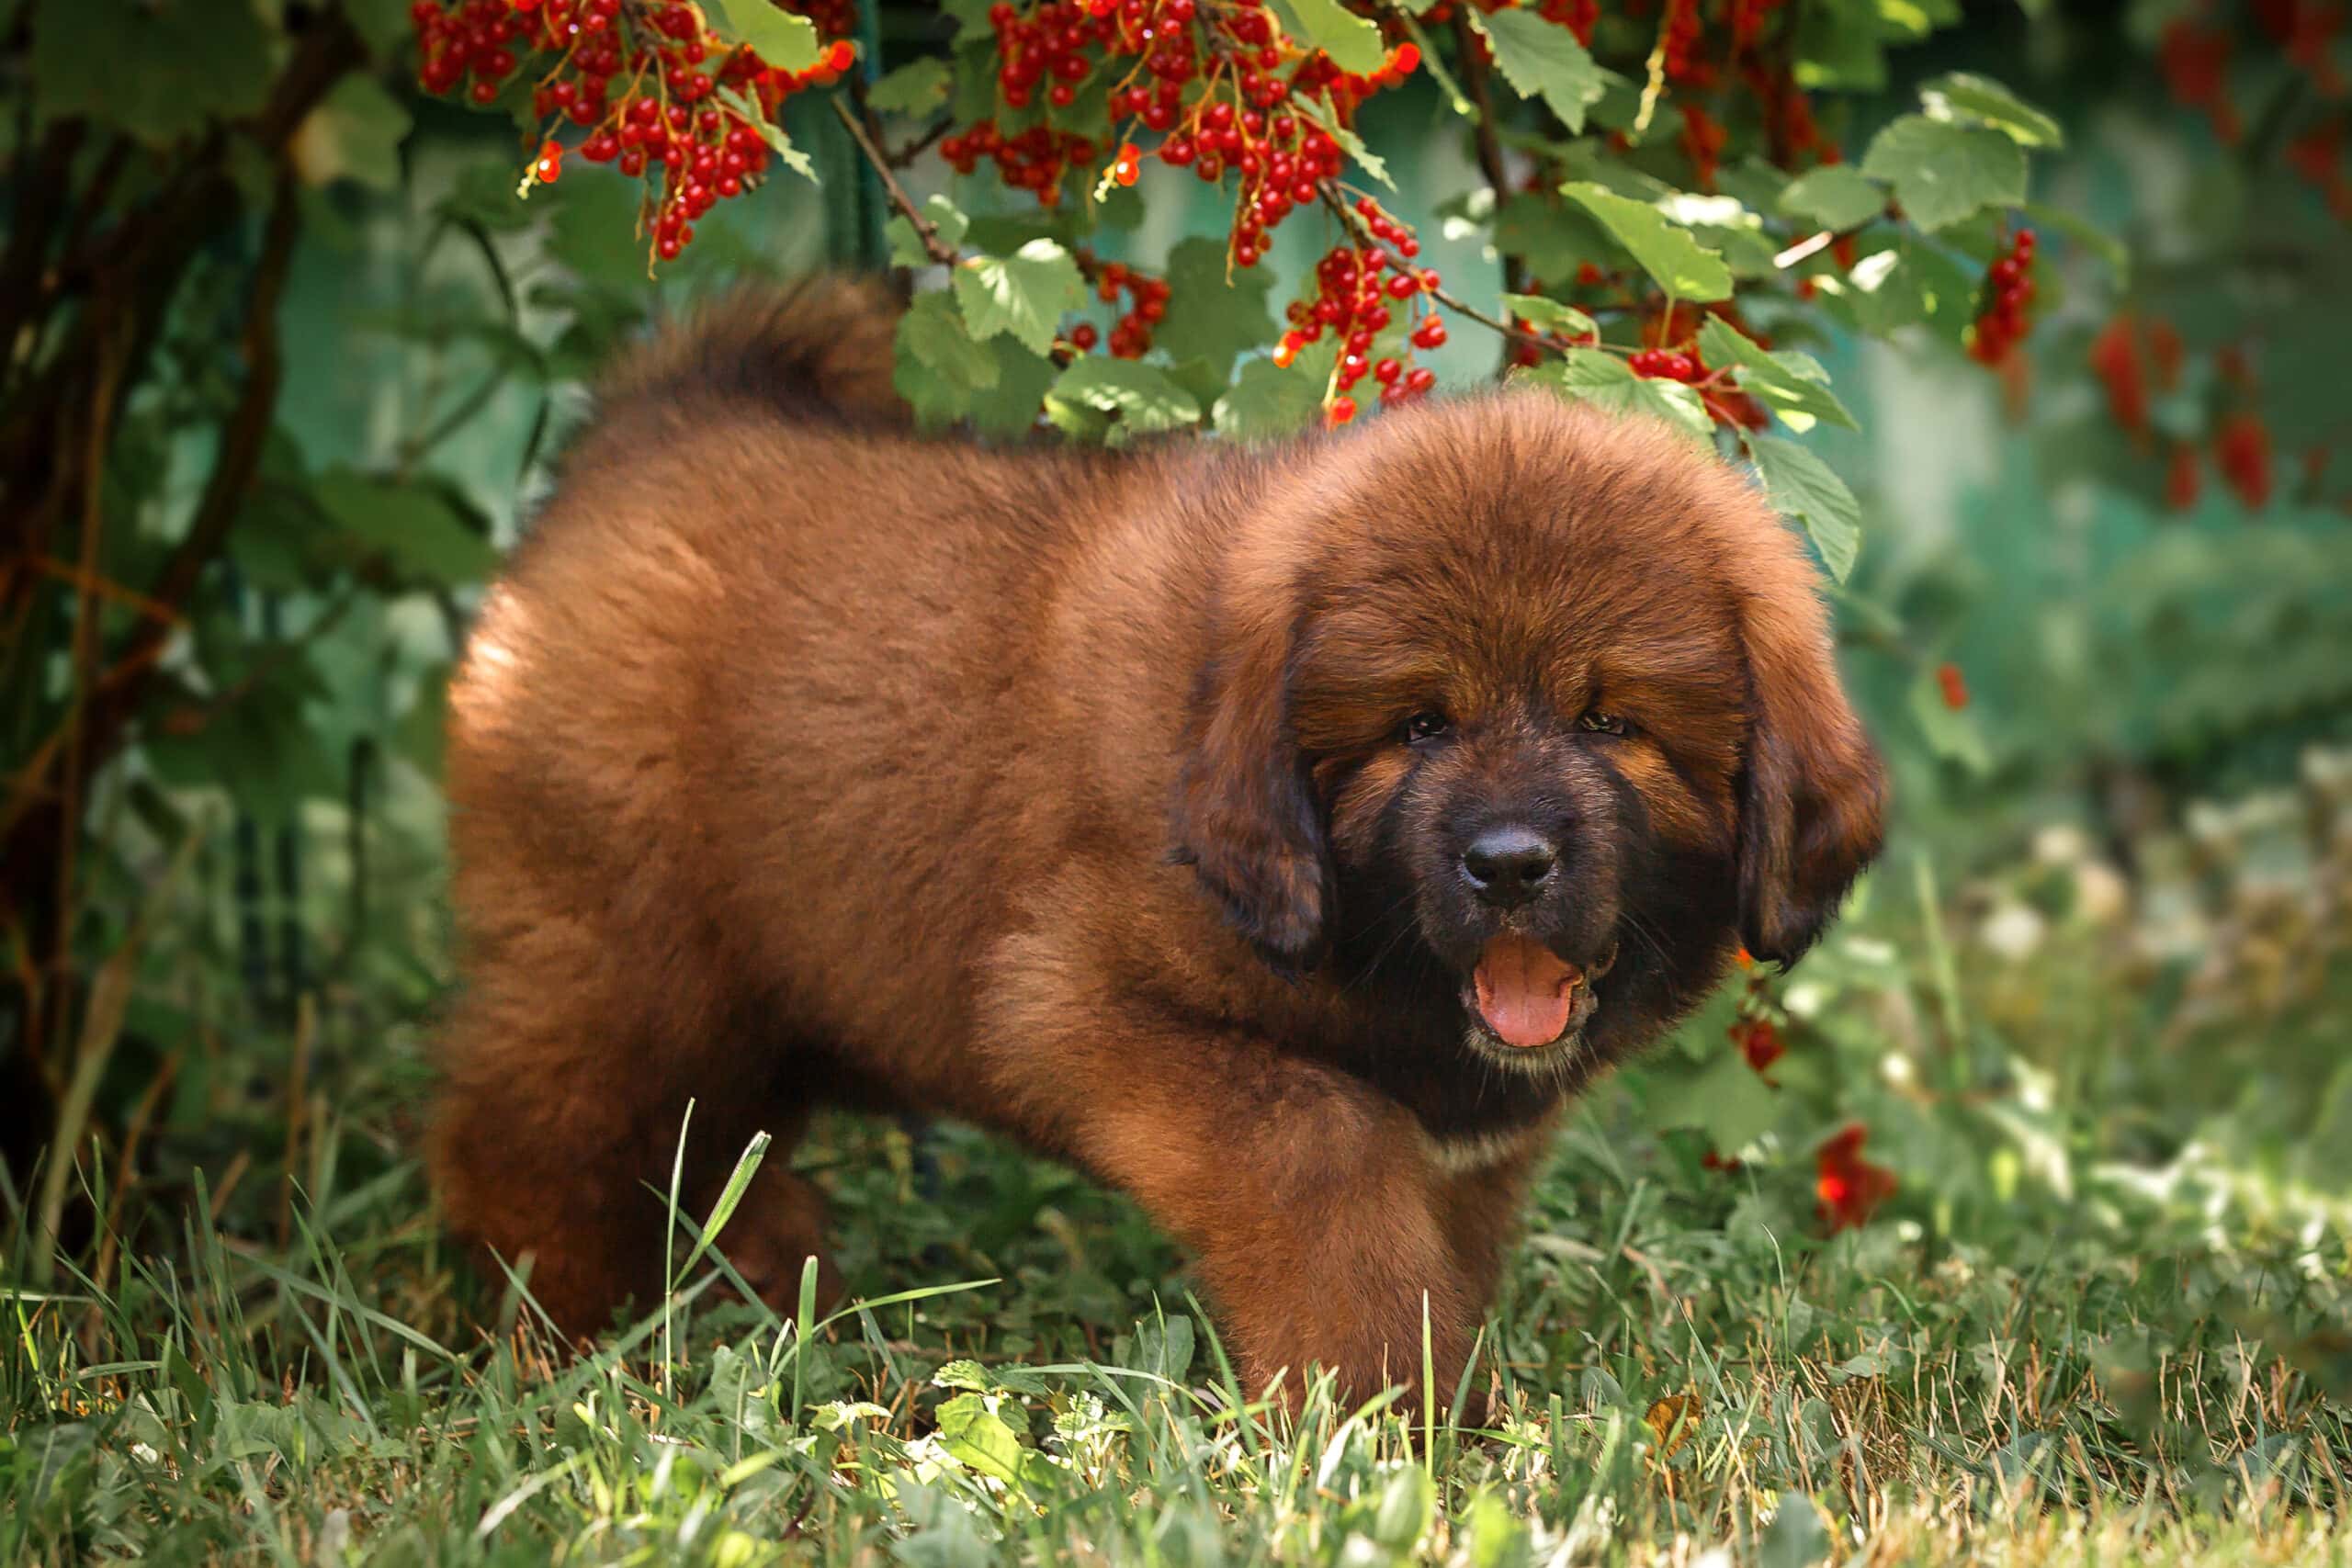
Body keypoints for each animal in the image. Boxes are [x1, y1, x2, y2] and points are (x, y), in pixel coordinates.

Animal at [433, 276, 1882, 1401]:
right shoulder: (1078, 998)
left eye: (1611, 721)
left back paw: (774, 1300)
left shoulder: (1468, 1145)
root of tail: (659, 424)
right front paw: (1375, 1410)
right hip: (624, 956)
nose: (1510, 862)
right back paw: (557, 1344)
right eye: (1418, 724)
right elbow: (1328, 1157)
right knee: (542, 1139)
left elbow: (1443, 1239)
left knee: (712, 1153)